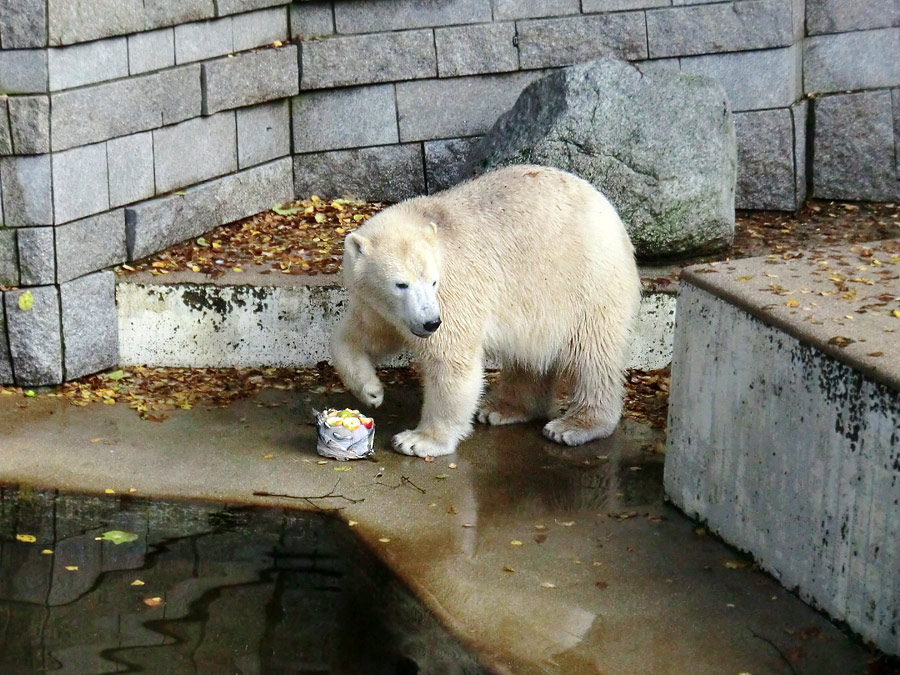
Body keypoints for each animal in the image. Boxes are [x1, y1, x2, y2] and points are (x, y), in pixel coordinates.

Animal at [330, 165, 640, 460]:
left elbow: (451, 359)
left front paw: (420, 440)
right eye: (401, 284)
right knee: (529, 354)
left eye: (433, 281)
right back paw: (502, 409)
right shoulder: (380, 308)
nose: (431, 323)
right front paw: (371, 392)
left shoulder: (453, 293)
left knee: (592, 353)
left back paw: (575, 425)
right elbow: (361, 337)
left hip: (584, 280)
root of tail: (608, 210)